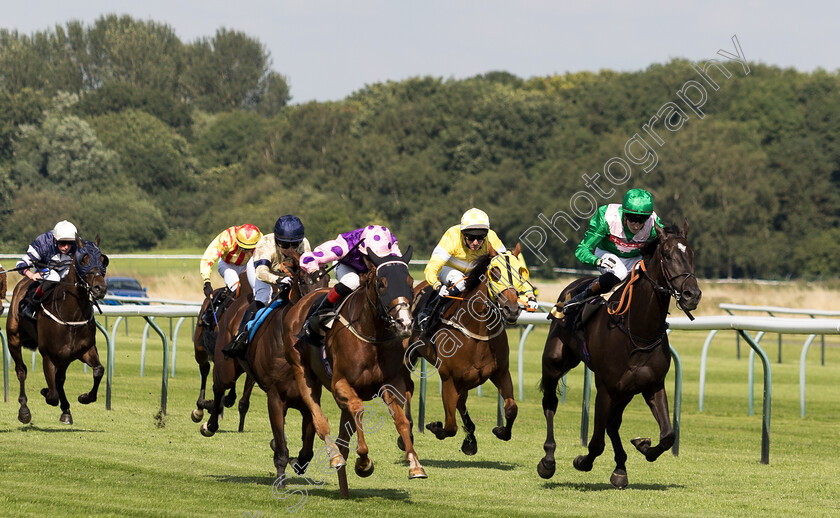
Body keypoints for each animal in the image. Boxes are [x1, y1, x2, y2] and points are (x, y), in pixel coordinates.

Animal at [5, 238, 110, 428]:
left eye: (103, 260)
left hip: (65, 356)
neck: (71, 314)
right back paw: (24, 410)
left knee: (60, 379)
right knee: (21, 370)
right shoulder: (48, 354)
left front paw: (84, 397)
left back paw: (66, 411)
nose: (100, 288)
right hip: (13, 338)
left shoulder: (83, 350)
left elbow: (99, 370)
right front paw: (44, 390)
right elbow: (52, 395)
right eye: (84, 259)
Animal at [191, 278, 254, 432]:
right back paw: (200, 407)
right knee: (205, 369)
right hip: (200, 350)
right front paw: (211, 406)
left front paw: (240, 427)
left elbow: (244, 399)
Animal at [284, 248, 426, 500]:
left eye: (410, 282)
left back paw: (344, 487)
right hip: (302, 372)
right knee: (321, 422)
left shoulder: (391, 384)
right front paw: (364, 463)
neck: (371, 335)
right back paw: (334, 457)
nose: (404, 323)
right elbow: (359, 410)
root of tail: (300, 304)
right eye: (382, 284)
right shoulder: (341, 384)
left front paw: (414, 464)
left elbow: (402, 420)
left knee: (342, 437)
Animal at [406, 246, 528, 458]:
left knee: (461, 403)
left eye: (519, 273)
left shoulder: (500, 372)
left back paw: (470, 439)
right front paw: (434, 426)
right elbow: (450, 425)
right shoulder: (449, 378)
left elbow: (511, 408)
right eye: (495, 272)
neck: (477, 332)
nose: (511, 310)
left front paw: (500, 431)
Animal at [540, 223, 704, 492]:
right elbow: (596, 442)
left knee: (613, 423)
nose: (692, 294)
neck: (638, 331)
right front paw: (582, 461)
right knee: (550, 402)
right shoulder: (605, 387)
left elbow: (668, 436)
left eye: (691, 254)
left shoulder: (652, 385)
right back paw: (548, 460)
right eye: (667, 255)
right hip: (555, 362)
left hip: (626, 391)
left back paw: (620, 468)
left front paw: (643, 446)